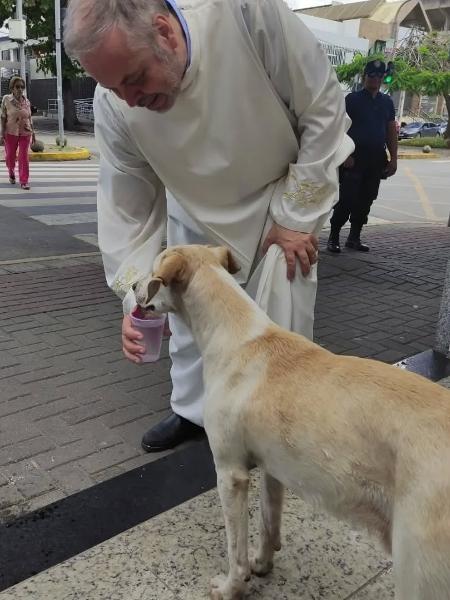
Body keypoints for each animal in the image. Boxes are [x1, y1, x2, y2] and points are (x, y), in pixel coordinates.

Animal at [134, 245, 450, 600]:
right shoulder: (273, 467)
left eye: (153, 272)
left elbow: (235, 550)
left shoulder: (230, 473)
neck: (235, 335)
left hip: (417, 568)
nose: (132, 286)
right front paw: (262, 564)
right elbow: (268, 521)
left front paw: (231, 587)